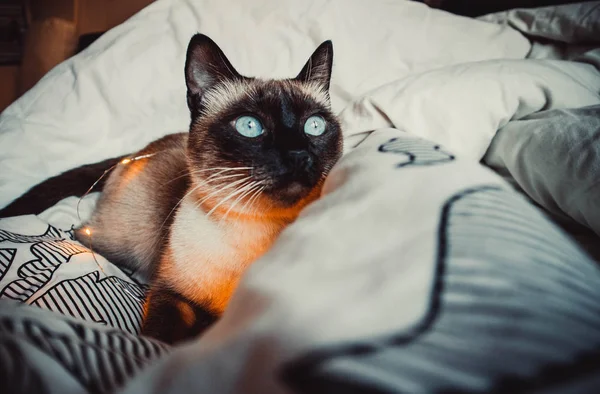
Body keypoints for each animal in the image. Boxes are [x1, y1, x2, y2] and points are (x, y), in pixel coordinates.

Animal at [0, 34, 344, 344]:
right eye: (250, 126)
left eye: (314, 125)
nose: (299, 155)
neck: (255, 228)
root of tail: (136, 153)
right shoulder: (171, 294)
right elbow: (161, 340)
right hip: (122, 241)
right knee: (79, 233)